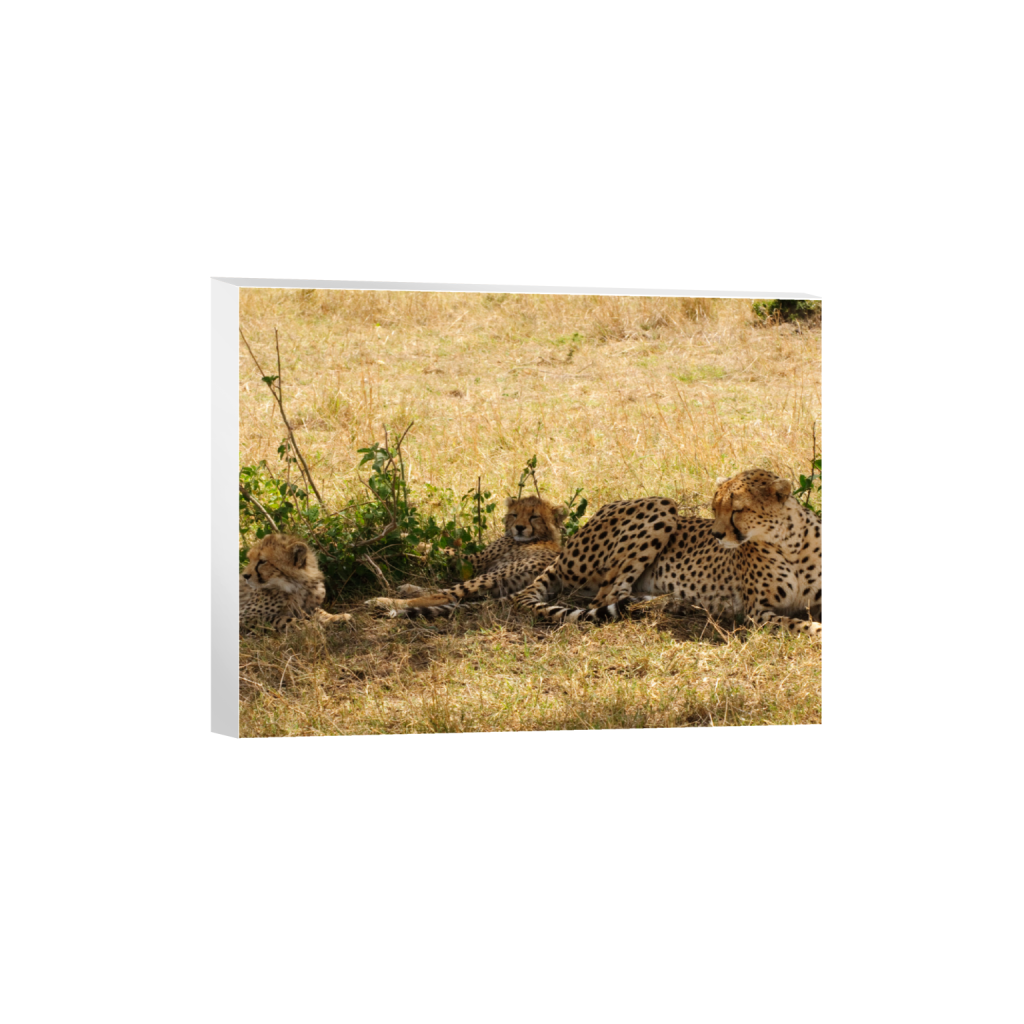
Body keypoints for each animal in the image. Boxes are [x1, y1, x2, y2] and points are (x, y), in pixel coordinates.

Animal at [365, 494, 568, 619]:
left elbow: (439, 549)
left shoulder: (473, 561)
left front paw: (399, 535)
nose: (519, 527)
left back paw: (381, 601)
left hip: (490, 576)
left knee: (445, 596)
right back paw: (407, 588)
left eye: (534, 516)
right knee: (445, 593)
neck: (542, 536)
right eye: (514, 514)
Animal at [511, 469, 821, 636]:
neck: (789, 543)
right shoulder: (757, 614)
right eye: (714, 508)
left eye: (738, 510)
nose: (717, 535)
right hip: (662, 505)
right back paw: (672, 604)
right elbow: (798, 624)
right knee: (607, 598)